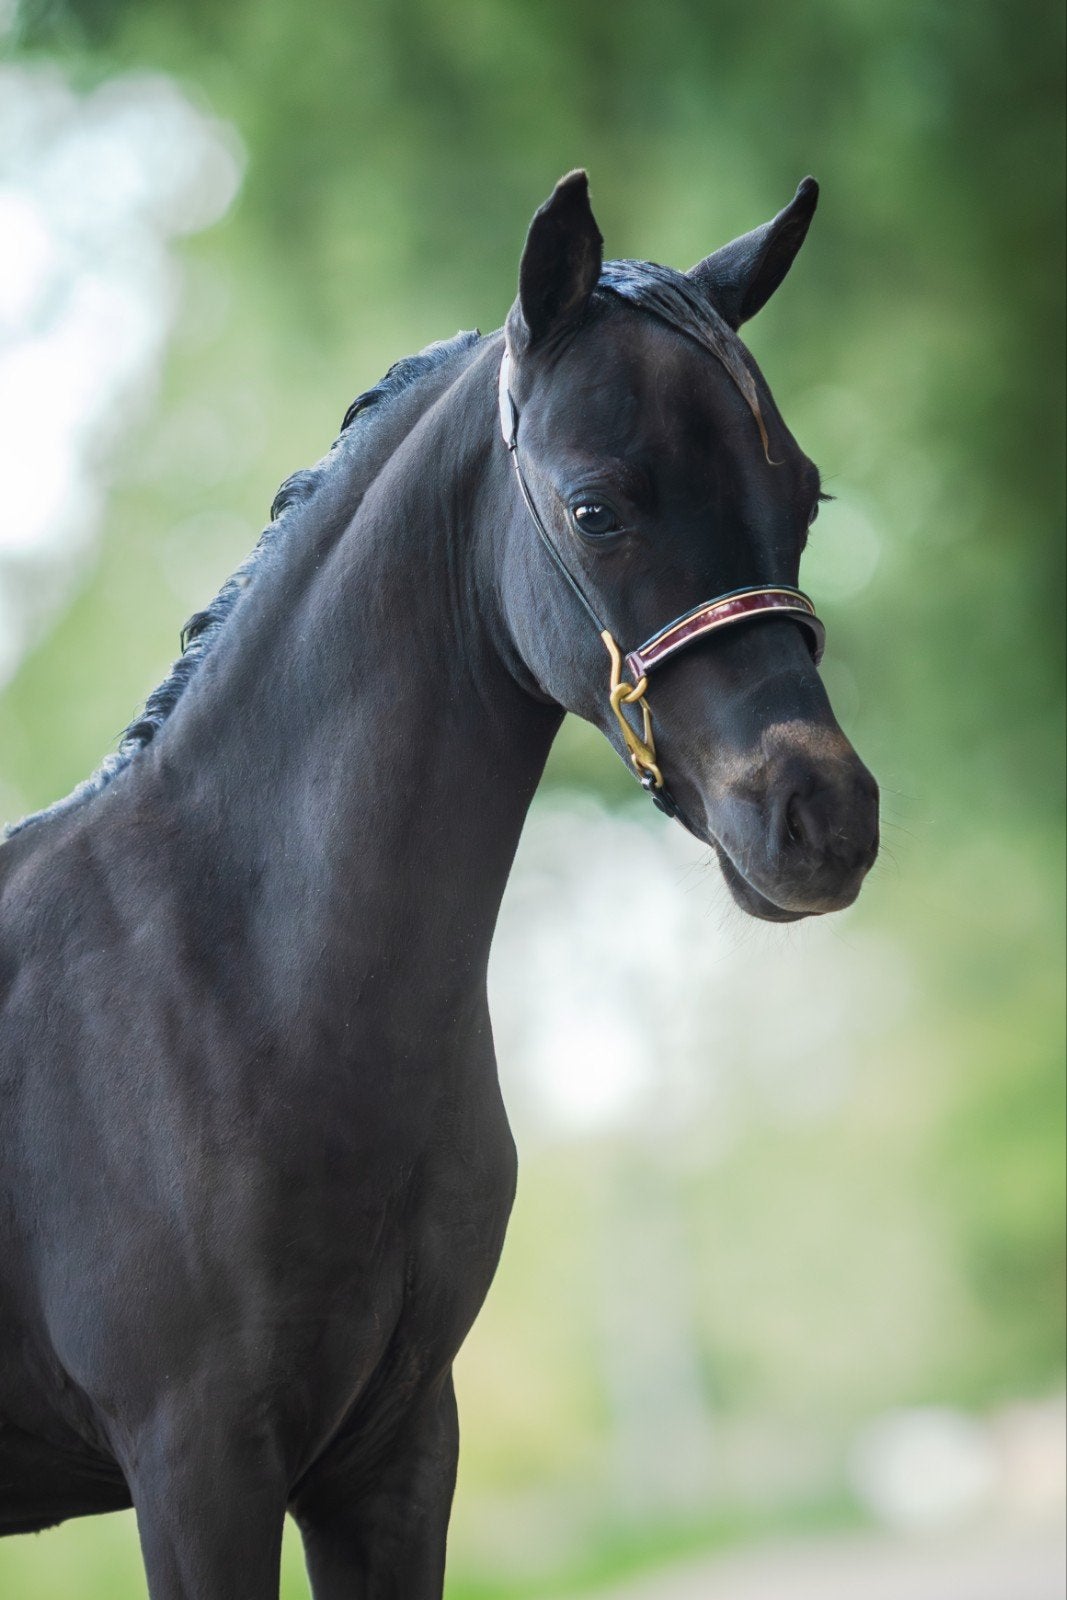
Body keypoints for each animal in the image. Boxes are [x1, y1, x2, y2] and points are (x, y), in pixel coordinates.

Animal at [0, 171, 879, 1597]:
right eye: (595, 509)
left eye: (799, 494)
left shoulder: (395, 1452)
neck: (233, 979)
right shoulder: (198, 1467)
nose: (822, 816)